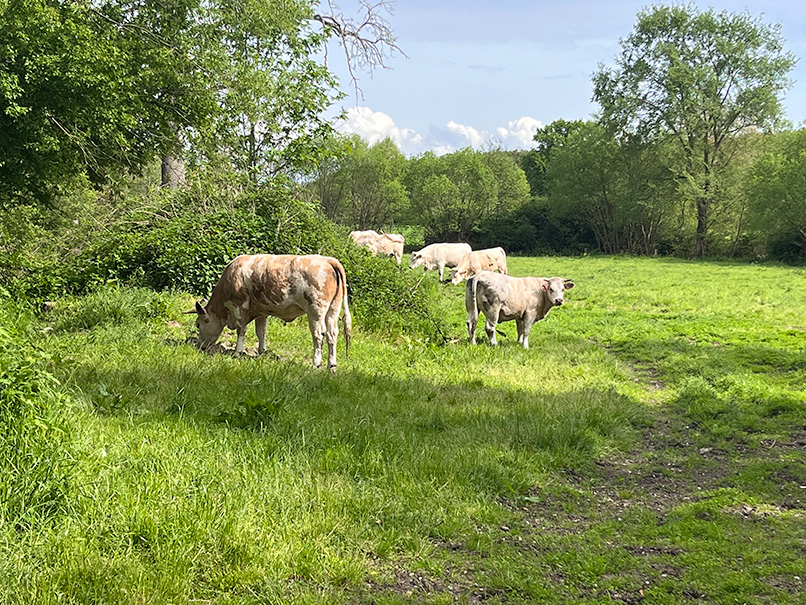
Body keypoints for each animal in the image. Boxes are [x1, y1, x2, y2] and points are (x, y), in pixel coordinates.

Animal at [191, 254, 356, 368]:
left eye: (198, 325)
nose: (199, 346)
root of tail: (329, 260)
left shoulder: (240, 305)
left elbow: (241, 330)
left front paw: (237, 352)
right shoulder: (261, 311)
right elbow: (261, 332)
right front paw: (261, 351)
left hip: (315, 311)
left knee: (319, 335)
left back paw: (316, 363)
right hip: (333, 310)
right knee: (332, 334)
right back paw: (331, 365)